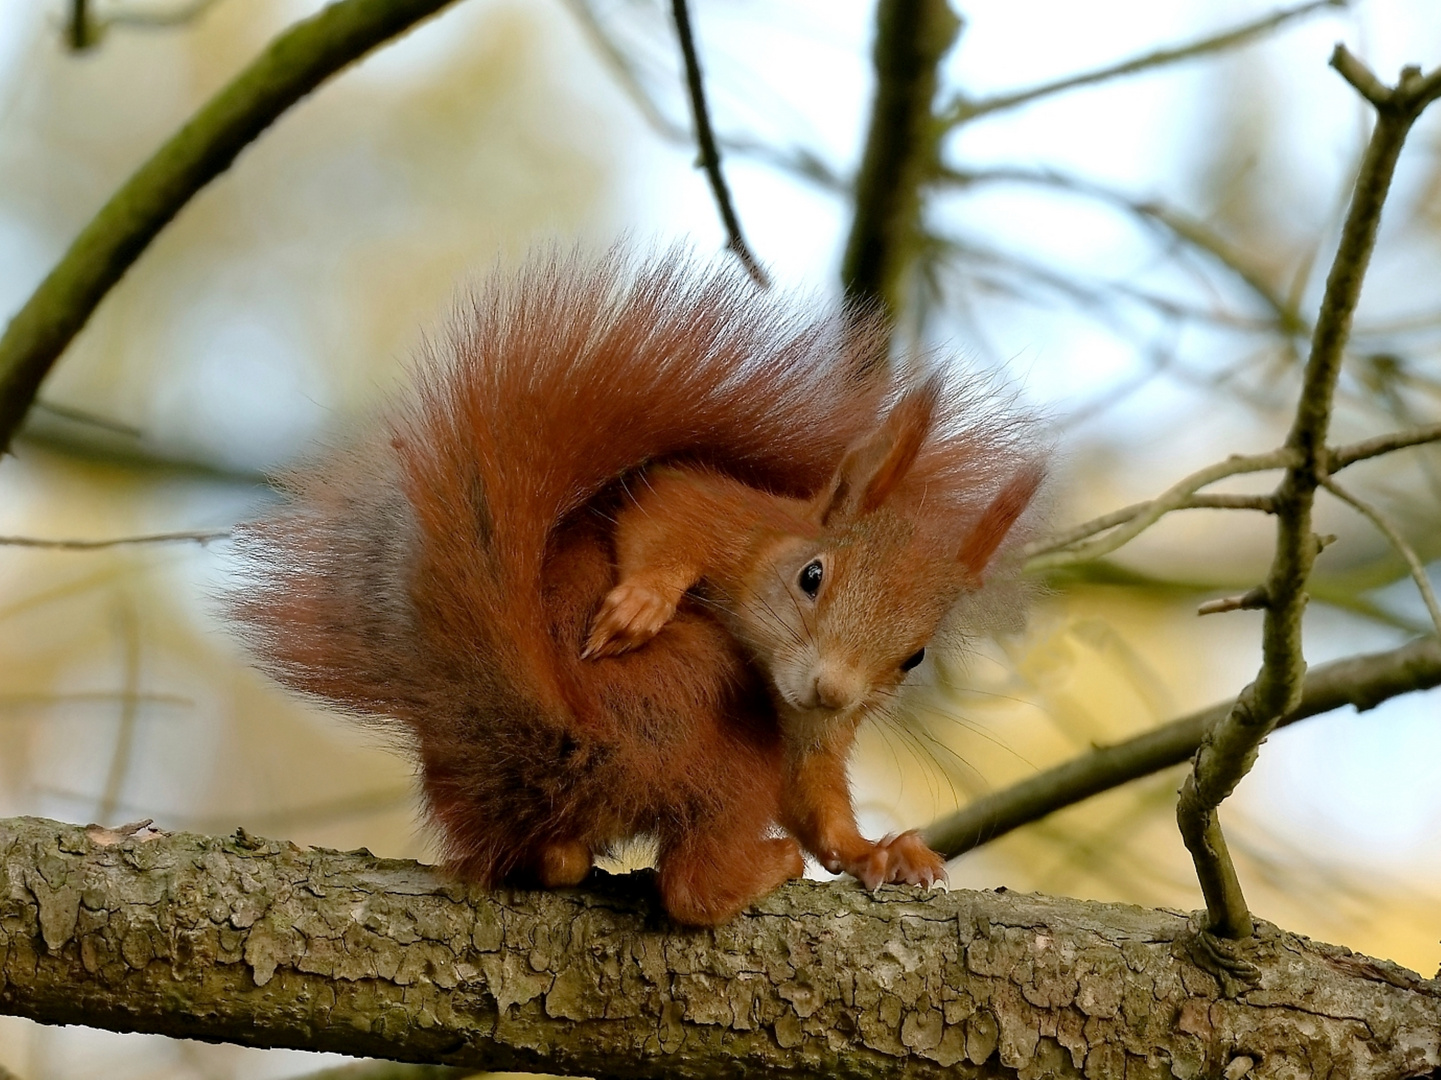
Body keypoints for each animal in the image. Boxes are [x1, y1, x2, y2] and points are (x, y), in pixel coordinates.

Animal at [230, 248, 1043, 922]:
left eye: (914, 657)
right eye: (811, 577)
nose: (832, 689)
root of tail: (566, 731)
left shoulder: (816, 731)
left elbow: (819, 802)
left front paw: (879, 852)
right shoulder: (715, 508)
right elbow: (666, 509)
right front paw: (641, 604)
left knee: (557, 858)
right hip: (710, 718)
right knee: (691, 889)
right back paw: (768, 863)